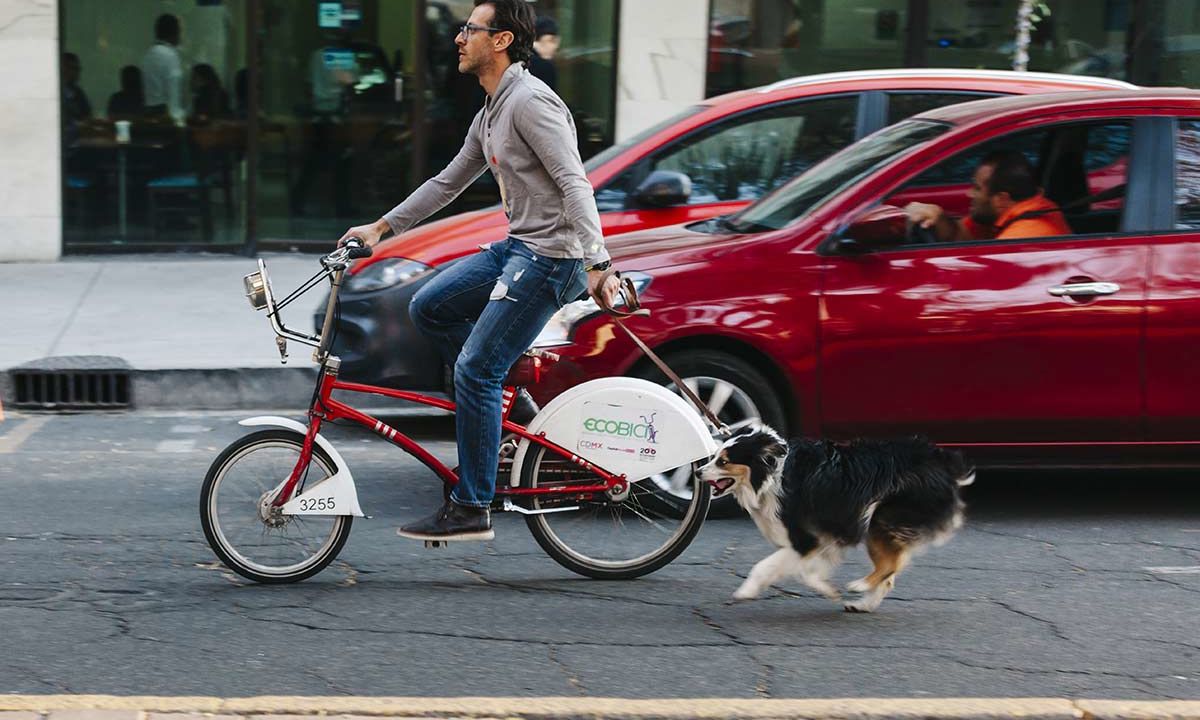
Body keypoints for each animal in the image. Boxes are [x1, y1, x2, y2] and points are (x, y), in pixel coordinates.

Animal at [700, 427, 969, 612]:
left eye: (723, 461)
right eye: (714, 456)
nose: (698, 472)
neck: (771, 475)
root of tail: (941, 460)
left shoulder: (805, 539)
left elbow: (764, 566)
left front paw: (745, 591)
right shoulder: (822, 538)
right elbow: (809, 572)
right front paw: (826, 588)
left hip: (881, 517)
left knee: (889, 566)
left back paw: (859, 586)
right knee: (889, 575)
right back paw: (863, 605)